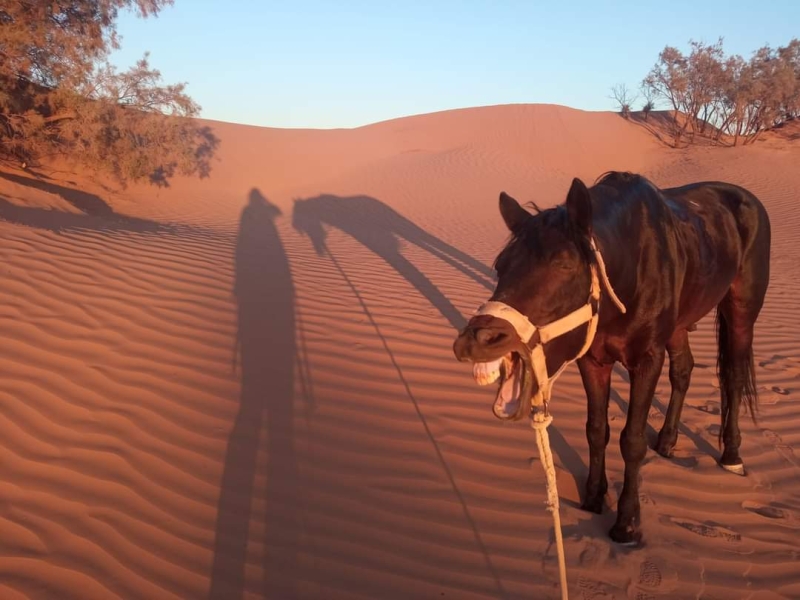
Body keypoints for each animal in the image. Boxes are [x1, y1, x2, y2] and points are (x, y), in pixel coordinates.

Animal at [450, 171, 768, 548]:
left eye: (565, 264)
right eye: (501, 266)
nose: (477, 340)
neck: (631, 268)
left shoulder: (646, 360)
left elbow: (632, 441)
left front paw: (626, 523)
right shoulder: (593, 360)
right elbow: (596, 429)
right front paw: (593, 497)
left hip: (741, 310)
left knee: (733, 376)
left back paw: (731, 455)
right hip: (679, 324)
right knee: (683, 370)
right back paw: (667, 440)